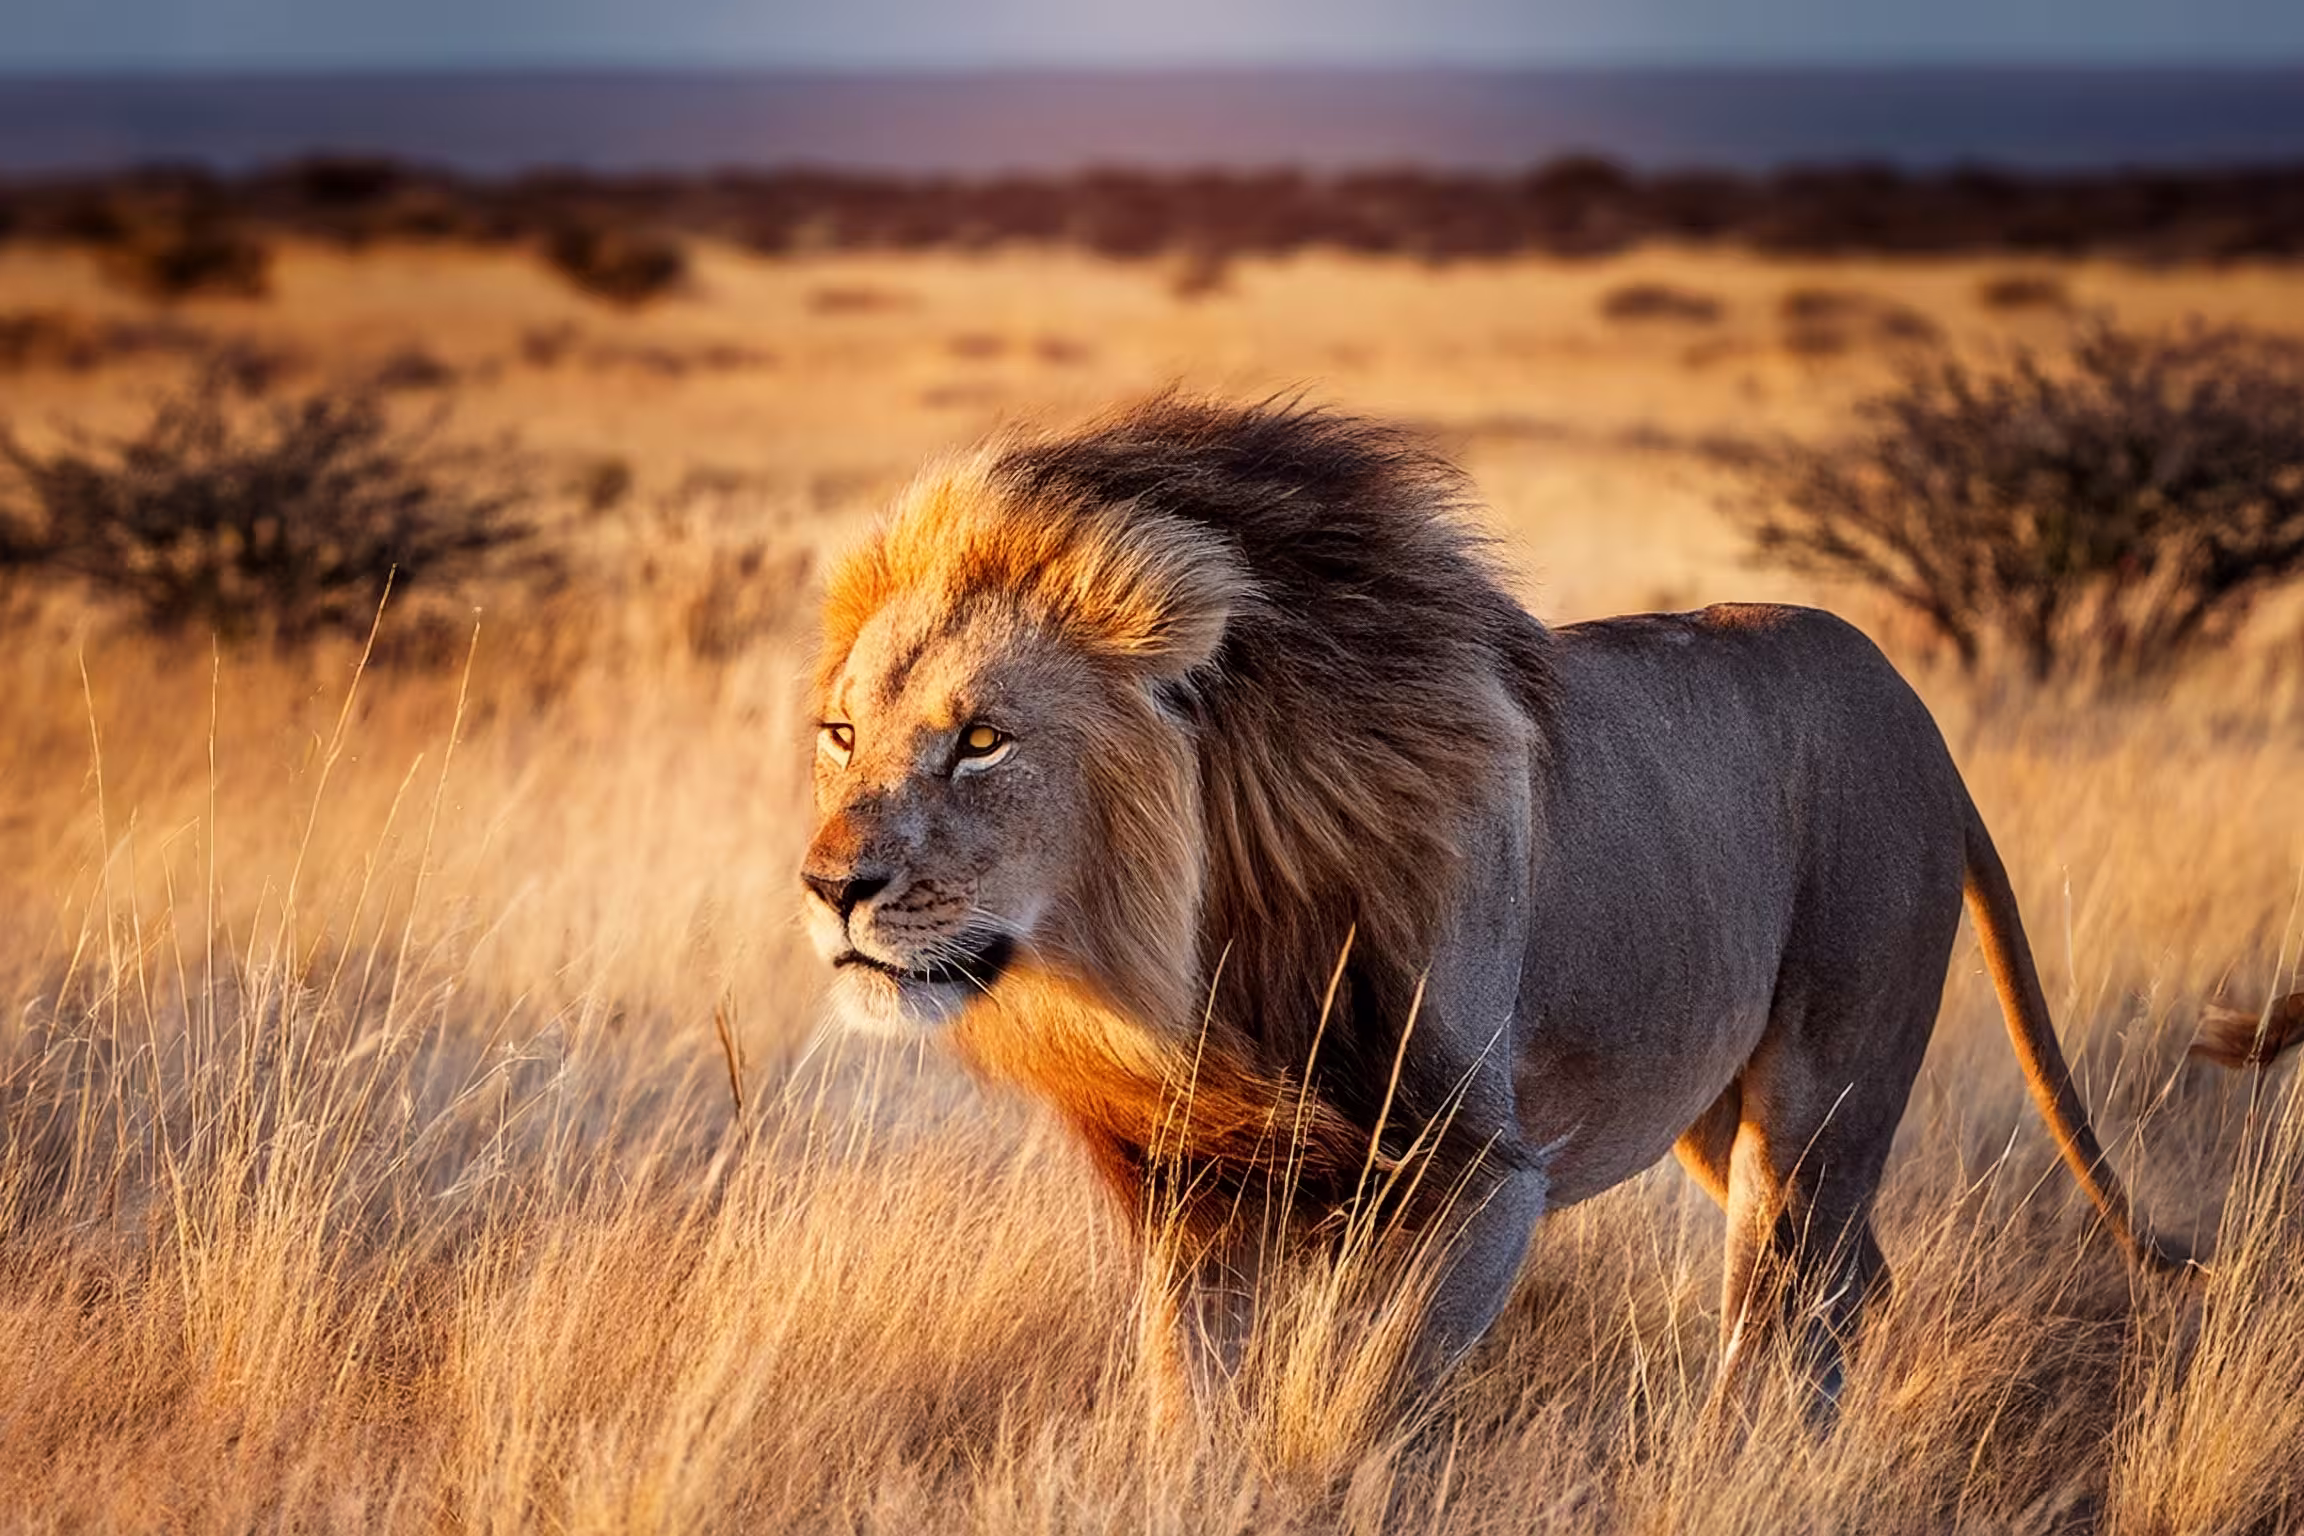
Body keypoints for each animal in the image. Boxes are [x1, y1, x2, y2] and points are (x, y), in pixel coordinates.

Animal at [799, 395, 2303, 1410]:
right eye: (840, 736)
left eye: (982, 741)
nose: (828, 889)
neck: (1196, 956)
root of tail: (1924, 719)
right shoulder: (1201, 1193)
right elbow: (1197, 1413)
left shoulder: (1485, 1182)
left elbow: (1344, 1416)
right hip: (1712, 1106)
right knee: (1855, 1285)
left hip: (1822, 1091)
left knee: (1791, 1311)